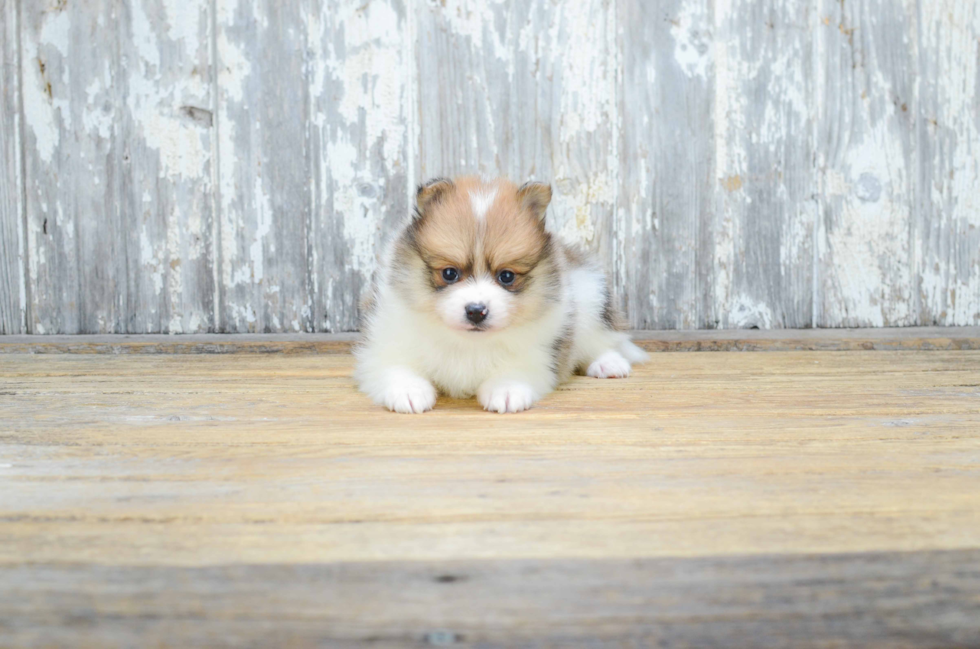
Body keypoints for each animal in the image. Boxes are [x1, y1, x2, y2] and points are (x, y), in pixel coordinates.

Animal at [356, 175, 648, 412]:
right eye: (449, 273)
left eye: (506, 276)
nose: (476, 311)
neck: (469, 343)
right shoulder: (387, 340)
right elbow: (395, 366)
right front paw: (408, 390)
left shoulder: (540, 349)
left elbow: (517, 368)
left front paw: (506, 389)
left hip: (590, 294)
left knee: (600, 340)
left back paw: (609, 363)